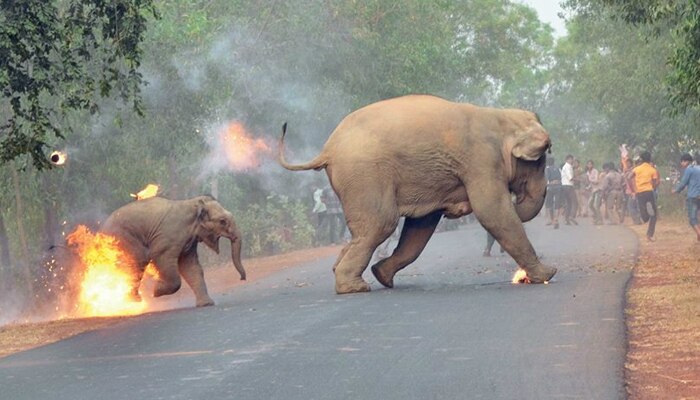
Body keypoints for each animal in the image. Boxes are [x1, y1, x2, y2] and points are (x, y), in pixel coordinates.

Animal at [101, 196, 246, 306]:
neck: (194, 203)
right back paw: (133, 301)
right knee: (135, 264)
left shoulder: (189, 242)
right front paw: (156, 291)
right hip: (124, 239)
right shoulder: (168, 237)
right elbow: (161, 257)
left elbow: (191, 267)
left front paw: (206, 304)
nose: (242, 278)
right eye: (222, 221)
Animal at [280, 94, 556, 294]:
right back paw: (354, 288)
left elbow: (421, 226)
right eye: (540, 162)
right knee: (382, 223)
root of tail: (327, 149)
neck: (501, 116)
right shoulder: (481, 160)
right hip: (364, 174)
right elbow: (493, 211)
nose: (518, 199)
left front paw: (382, 274)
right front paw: (548, 274)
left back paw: (351, 274)